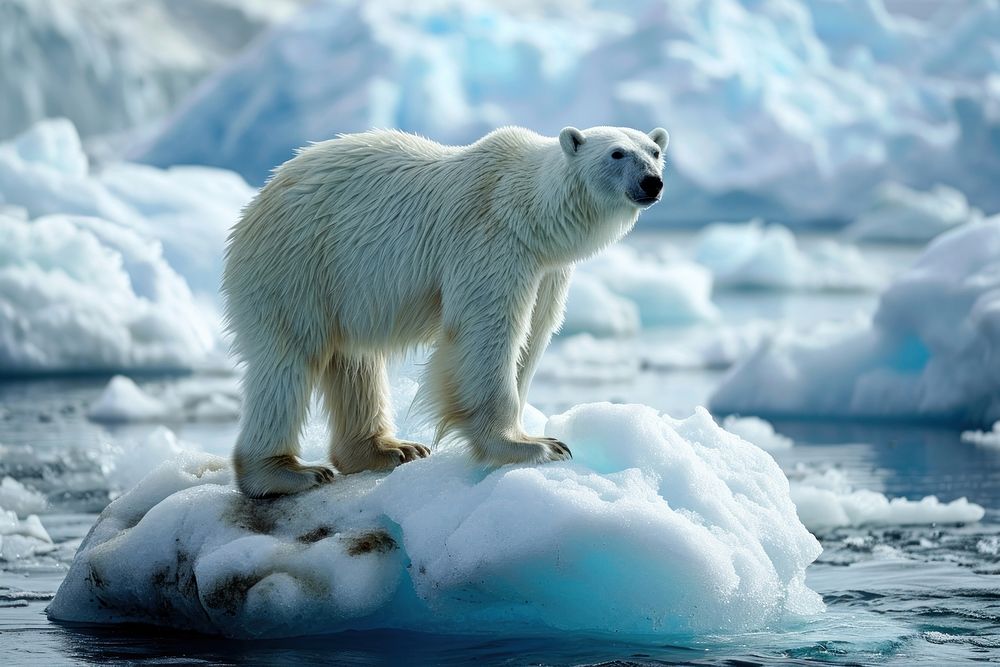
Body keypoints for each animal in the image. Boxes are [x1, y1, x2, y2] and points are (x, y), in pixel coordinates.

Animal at [223, 126, 668, 496]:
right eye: (616, 153)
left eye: (655, 151)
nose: (653, 181)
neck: (529, 212)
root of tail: (256, 201)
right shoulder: (492, 242)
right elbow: (488, 331)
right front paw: (533, 446)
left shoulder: (547, 270)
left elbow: (534, 336)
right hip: (298, 265)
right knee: (289, 360)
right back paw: (288, 473)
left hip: (342, 287)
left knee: (355, 360)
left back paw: (389, 450)